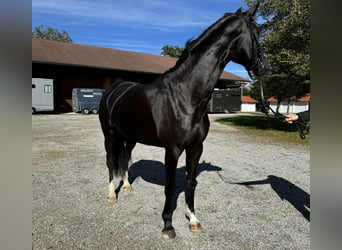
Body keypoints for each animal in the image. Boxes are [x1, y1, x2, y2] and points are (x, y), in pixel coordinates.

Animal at [99, 3, 270, 238]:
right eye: (257, 33)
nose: (265, 67)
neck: (185, 95)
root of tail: (113, 90)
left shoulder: (196, 147)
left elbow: (190, 182)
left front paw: (193, 219)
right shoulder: (172, 149)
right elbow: (170, 186)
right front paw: (168, 226)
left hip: (130, 136)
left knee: (125, 157)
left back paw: (126, 186)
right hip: (110, 135)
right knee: (110, 161)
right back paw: (111, 195)